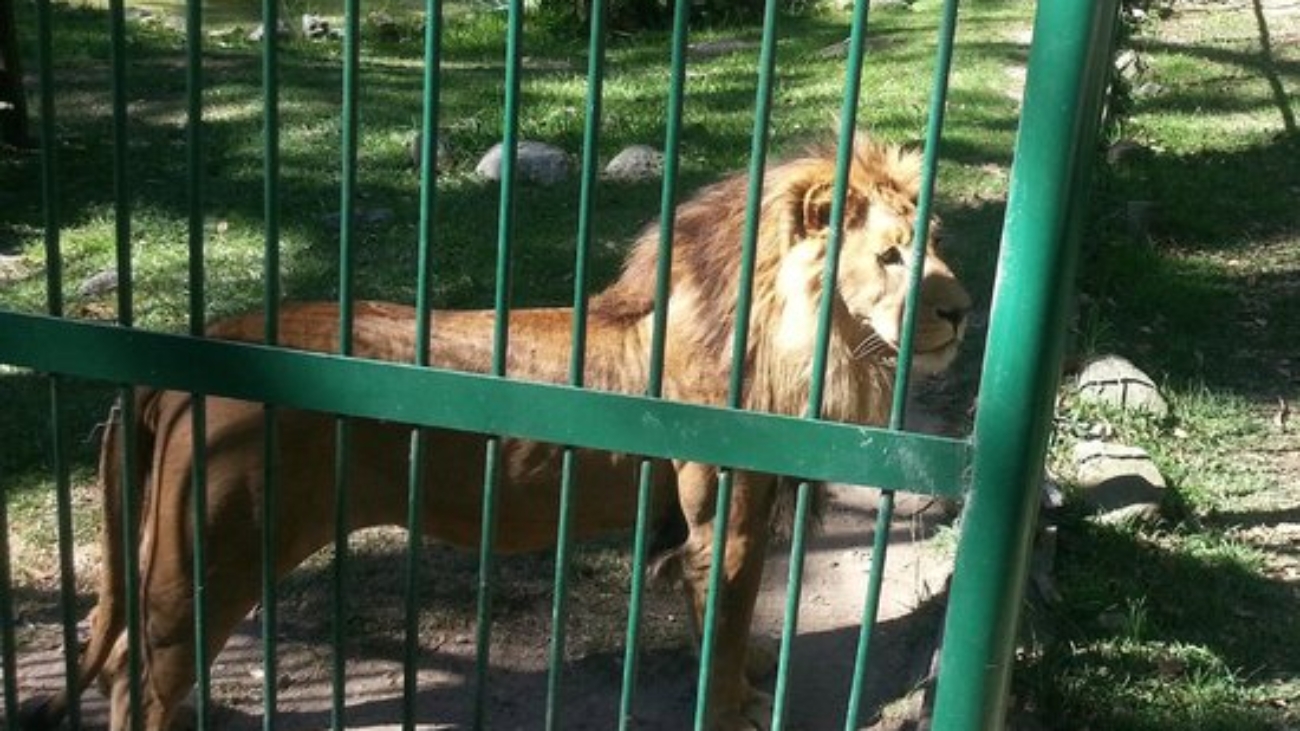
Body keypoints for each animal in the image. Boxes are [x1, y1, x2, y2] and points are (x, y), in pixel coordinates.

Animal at [25, 133, 972, 723]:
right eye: (891, 256)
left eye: (935, 247)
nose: (963, 311)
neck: (800, 338)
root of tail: (192, 347)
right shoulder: (728, 524)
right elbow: (727, 618)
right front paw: (735, 706)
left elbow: (719, 625)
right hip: (213, 552)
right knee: (139, 676)